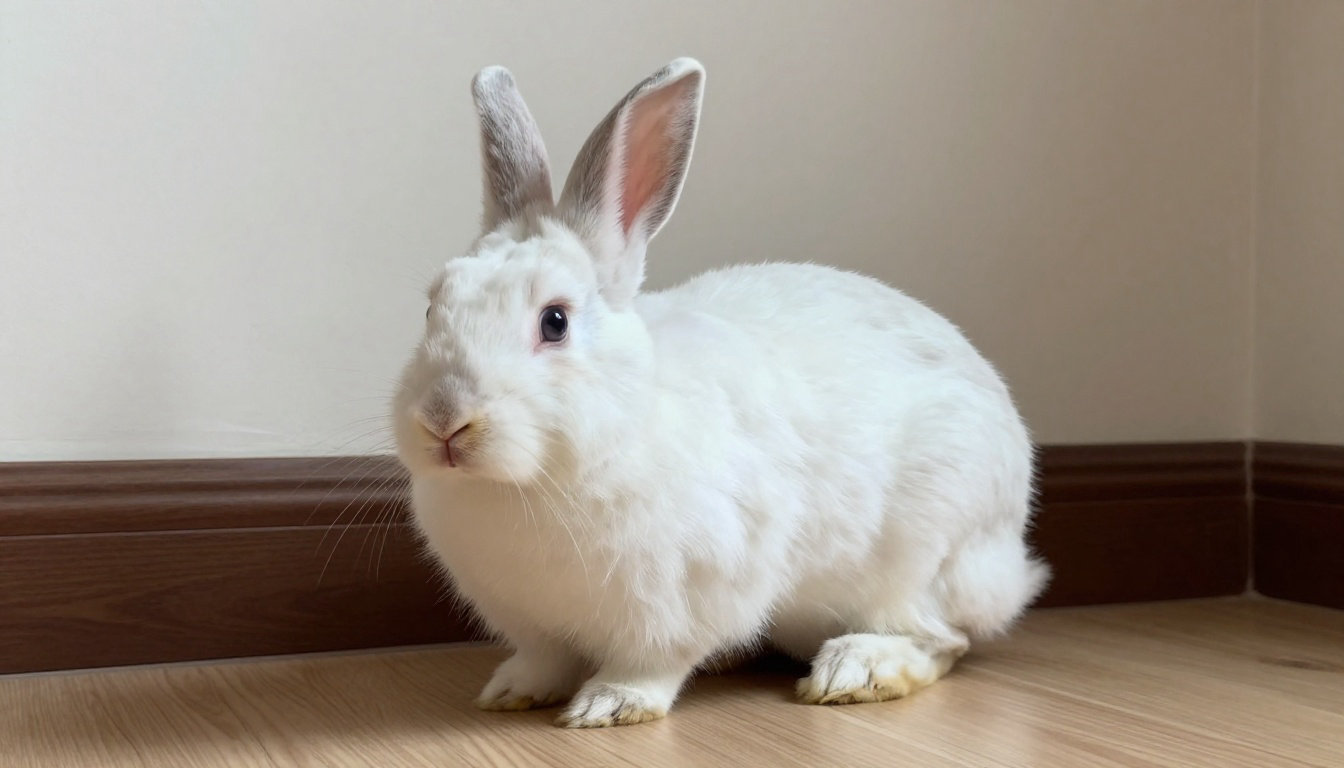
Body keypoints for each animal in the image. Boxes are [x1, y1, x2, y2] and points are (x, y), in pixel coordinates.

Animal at [392, 57, 1049, 729]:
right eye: (431, 309)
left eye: (555, 322)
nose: (444, 420)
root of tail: (1010, 561)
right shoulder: (534, 625)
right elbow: (543, 660)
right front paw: (511, 692)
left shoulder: (682, 597)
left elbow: (650, 663)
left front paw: (609, 706)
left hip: (923, 559)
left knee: (944, 639)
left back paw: (855, 670)